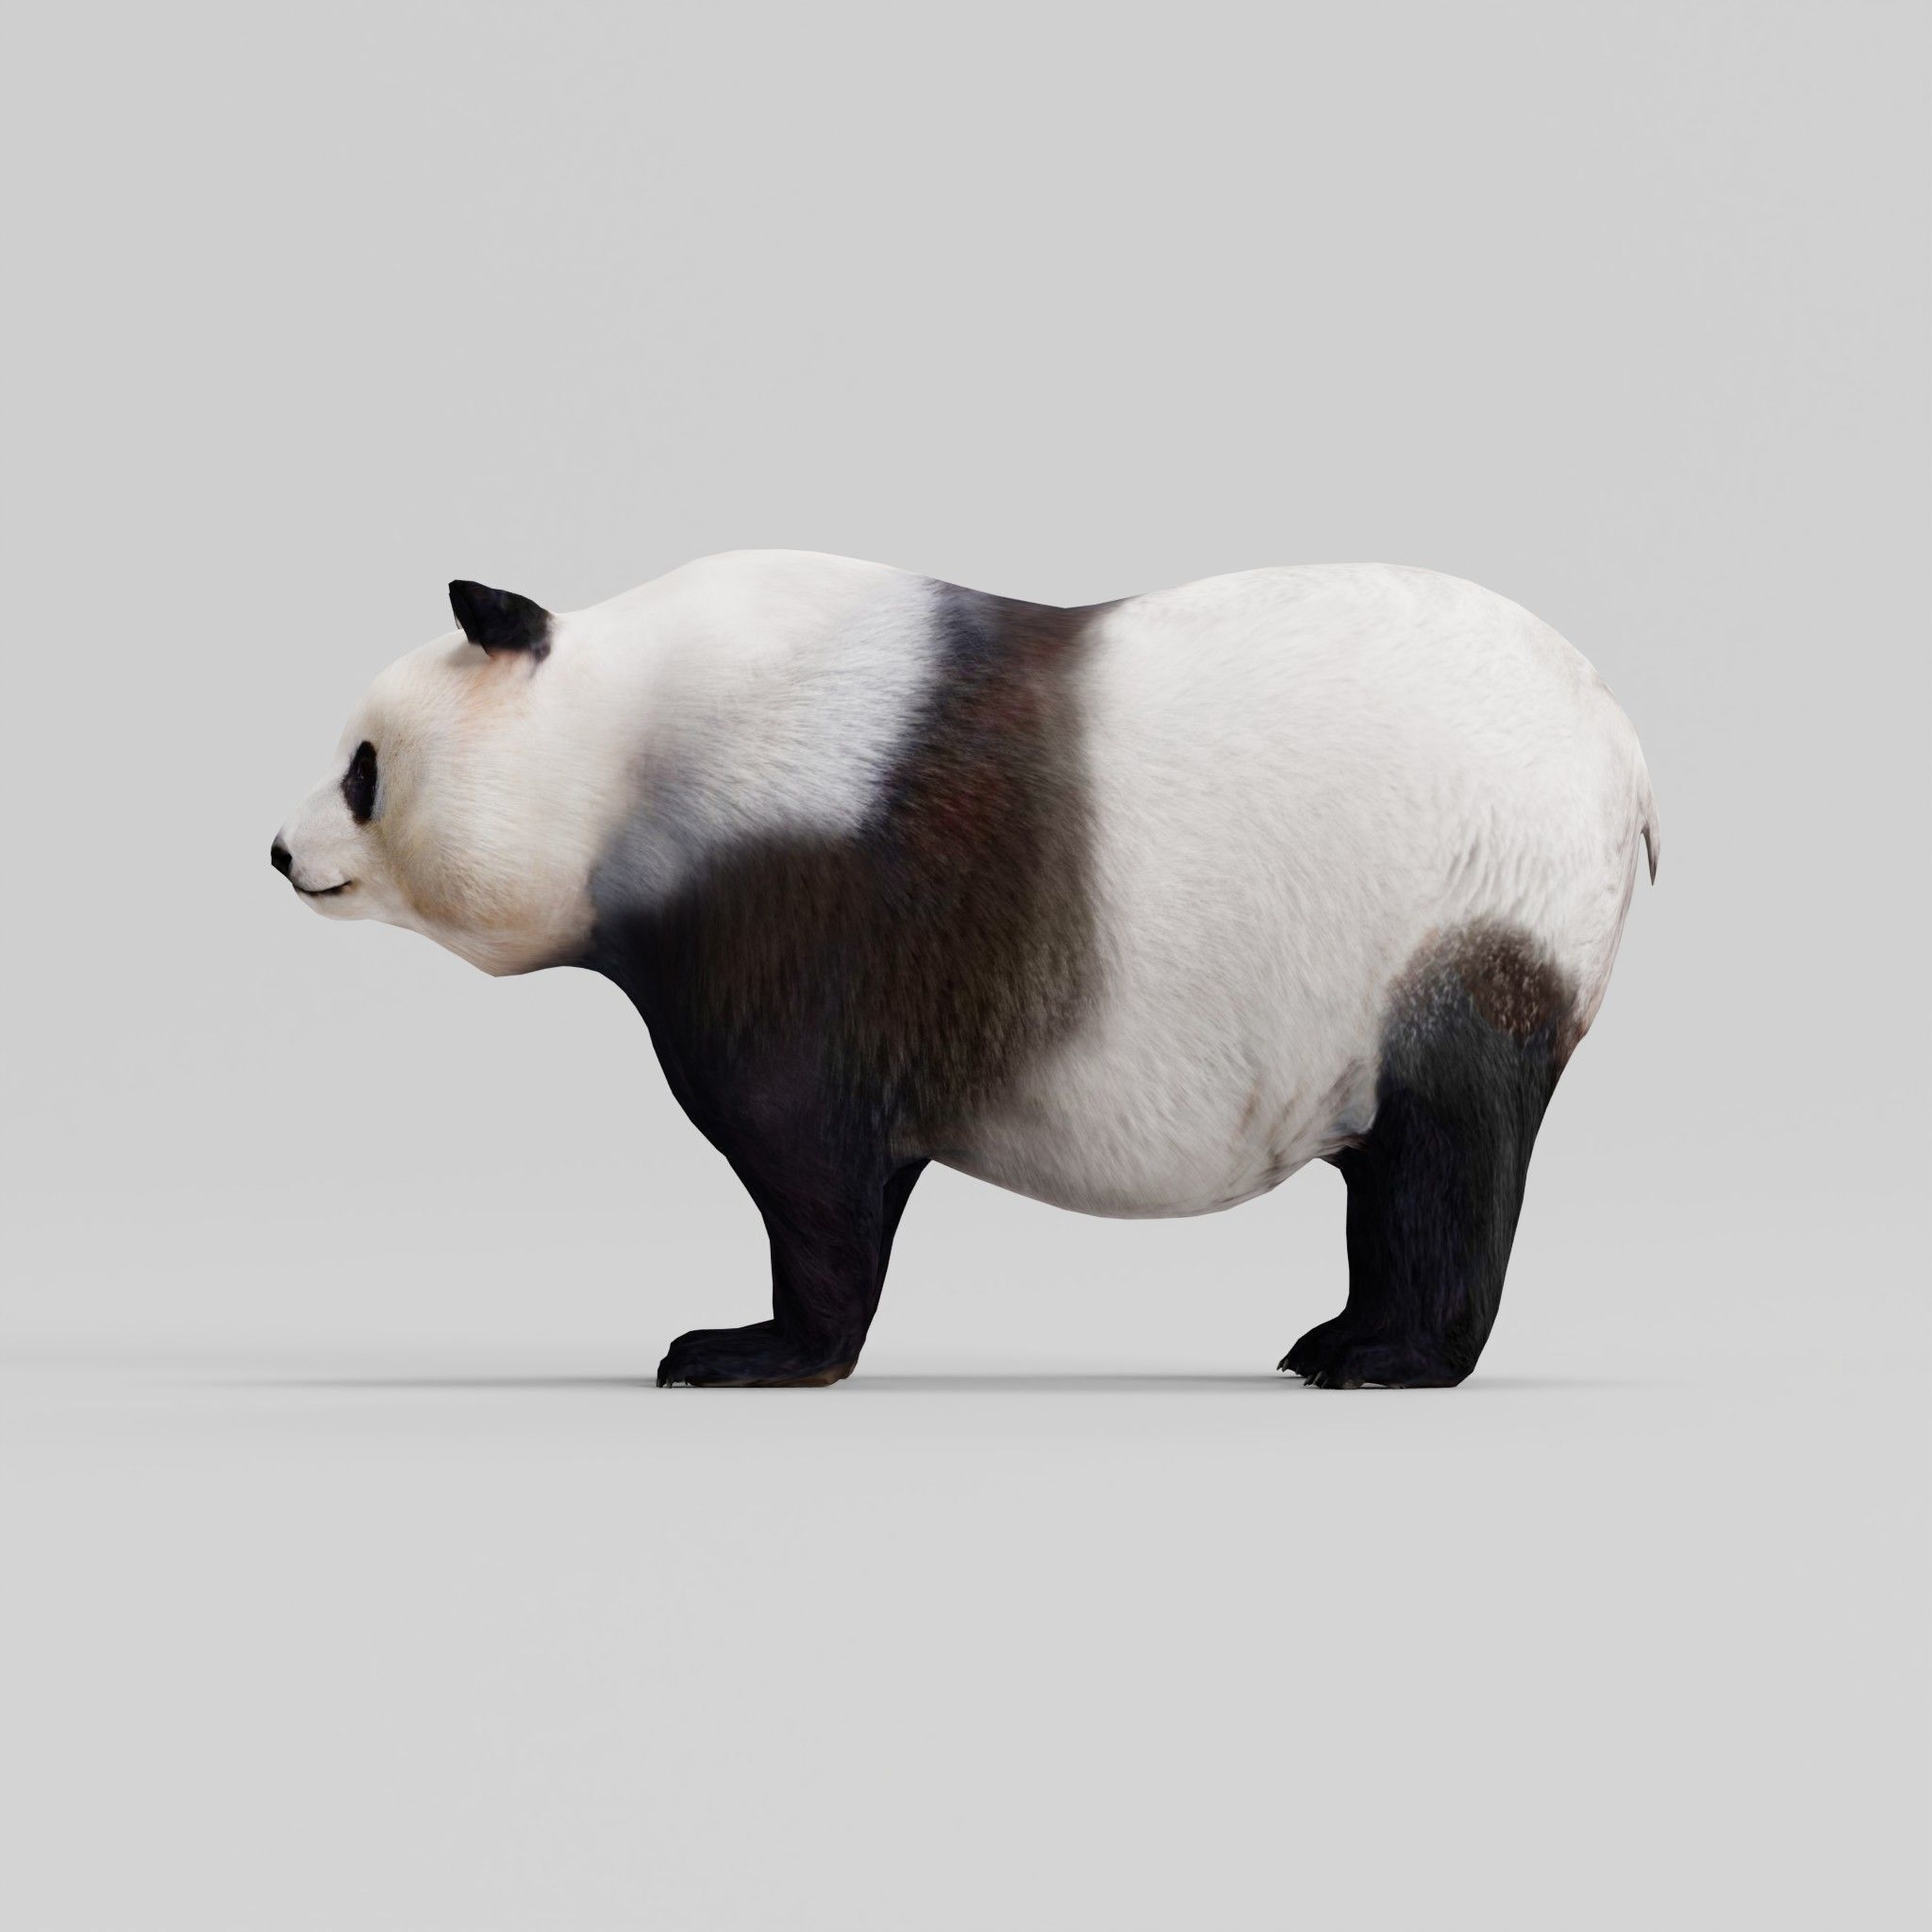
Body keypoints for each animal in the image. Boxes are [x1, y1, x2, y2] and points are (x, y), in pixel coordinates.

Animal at [273, 552, 1659, 1388]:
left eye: (364, 768)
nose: (282, 852)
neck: (632, 736)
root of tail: (1618, 744)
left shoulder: (806, 886)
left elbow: (810, 1153)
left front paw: (746, 1350)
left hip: (1465, 906)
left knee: (1447, 1146)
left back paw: (1382, 1356)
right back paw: (1347, 1332)